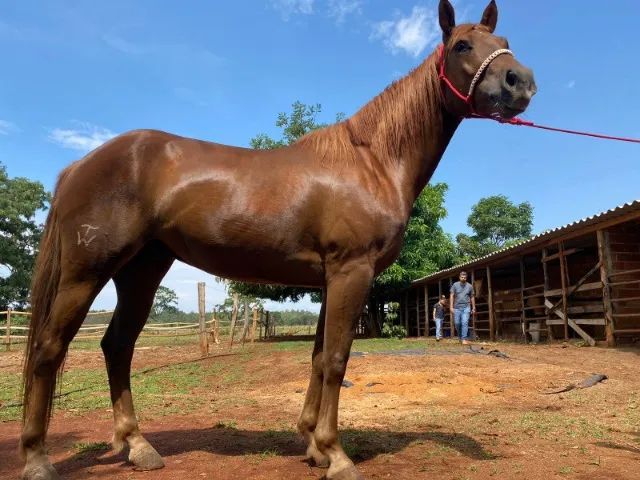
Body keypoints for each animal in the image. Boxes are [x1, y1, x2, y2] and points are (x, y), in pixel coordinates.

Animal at [18, 1, 536, 478]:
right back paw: (37, 458)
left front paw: (313, 445)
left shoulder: (330, 278)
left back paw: (138, 446)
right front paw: (337, 456)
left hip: (141, 271)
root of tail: (80, 164)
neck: (372, 162)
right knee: (48, 348)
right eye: (462, 45)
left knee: (117, 347)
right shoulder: (351, 270)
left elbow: (318, 357)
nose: (521, 82)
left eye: (504, 39)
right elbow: (337, 360)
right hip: (86, 271)